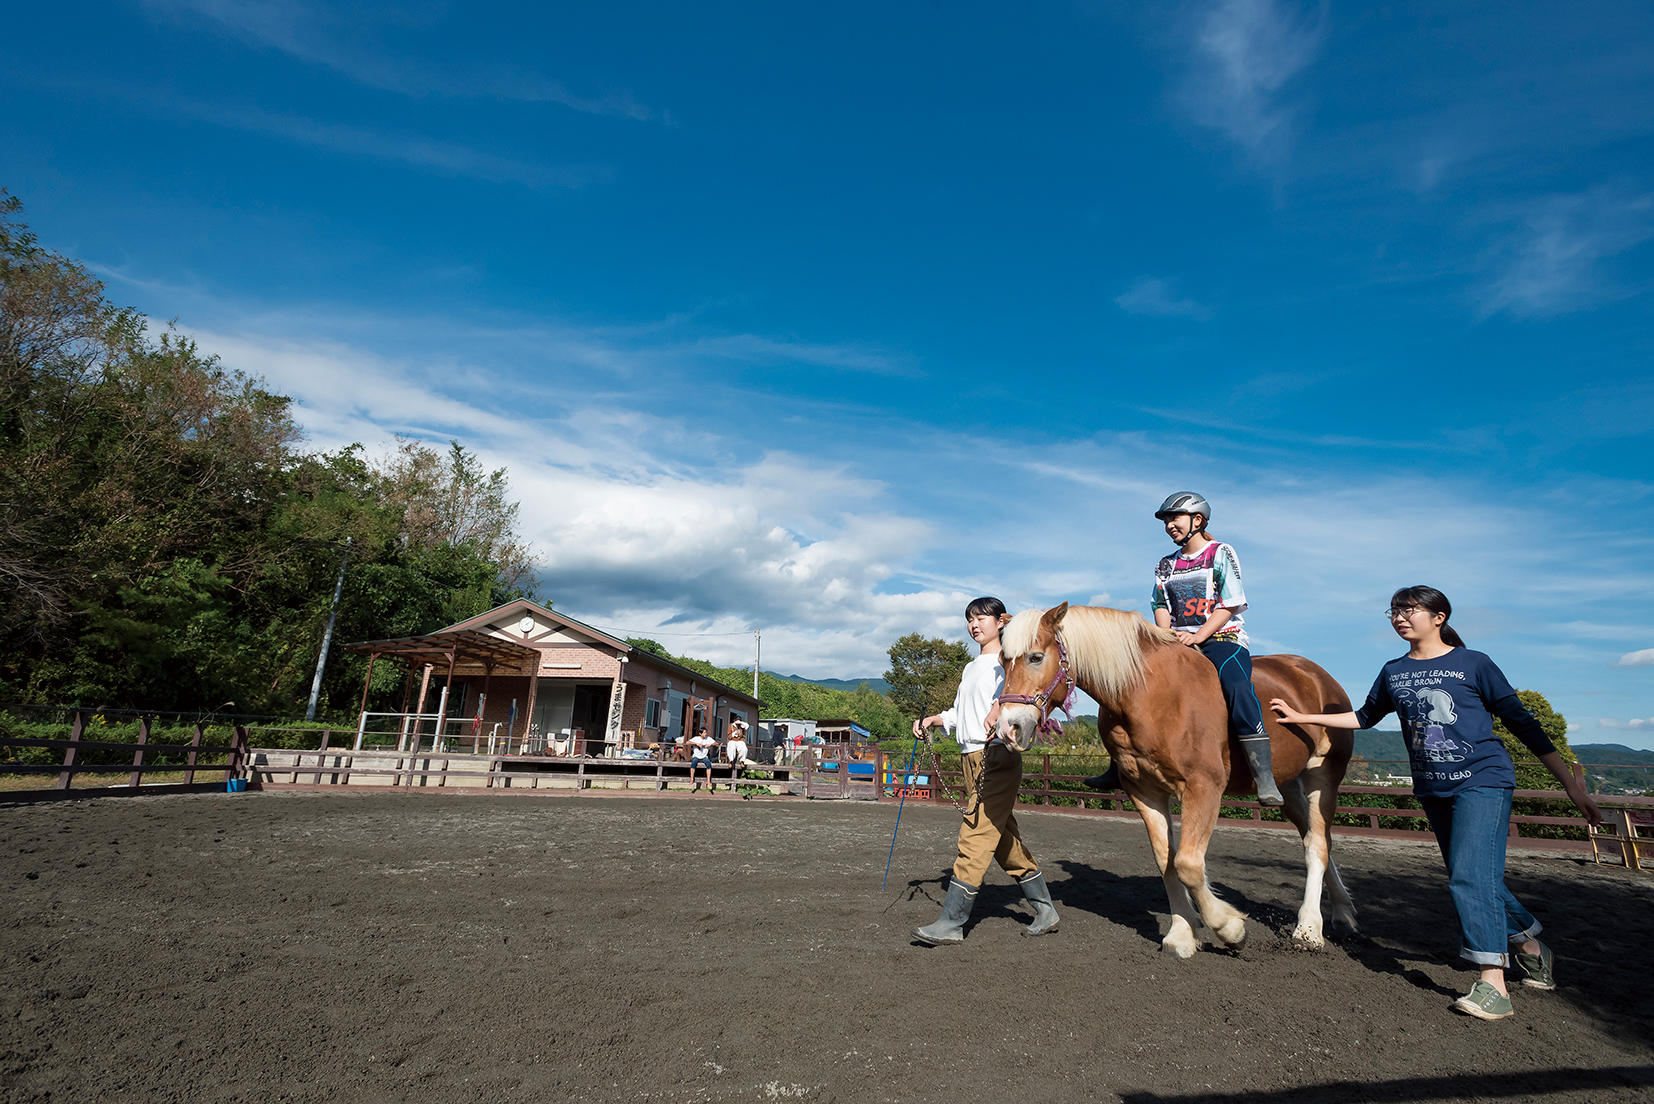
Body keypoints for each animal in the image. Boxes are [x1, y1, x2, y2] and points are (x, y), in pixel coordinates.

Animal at [992, 605, 1356, 960]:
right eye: (1003, 662)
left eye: (1036, 657)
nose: (1008, 728)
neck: (1149, 693)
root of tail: (1317, 675)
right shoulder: (1145, 792)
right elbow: (1166, 861)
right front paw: (1182, 934)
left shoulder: (1203, 787)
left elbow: (1188, 864)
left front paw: (1230, 929)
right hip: (1289, 784)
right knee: (1315, 838)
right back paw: (1343, 912)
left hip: (1323, 776)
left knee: (1318, 844)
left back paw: (1309, 930)